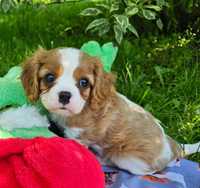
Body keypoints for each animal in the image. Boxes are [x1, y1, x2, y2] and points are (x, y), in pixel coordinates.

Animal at [20, 47, 200, 176]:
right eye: (49, 78)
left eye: (84, 82)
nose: (65, 95)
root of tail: (174, 146)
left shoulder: (80, 138)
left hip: (125, 157)